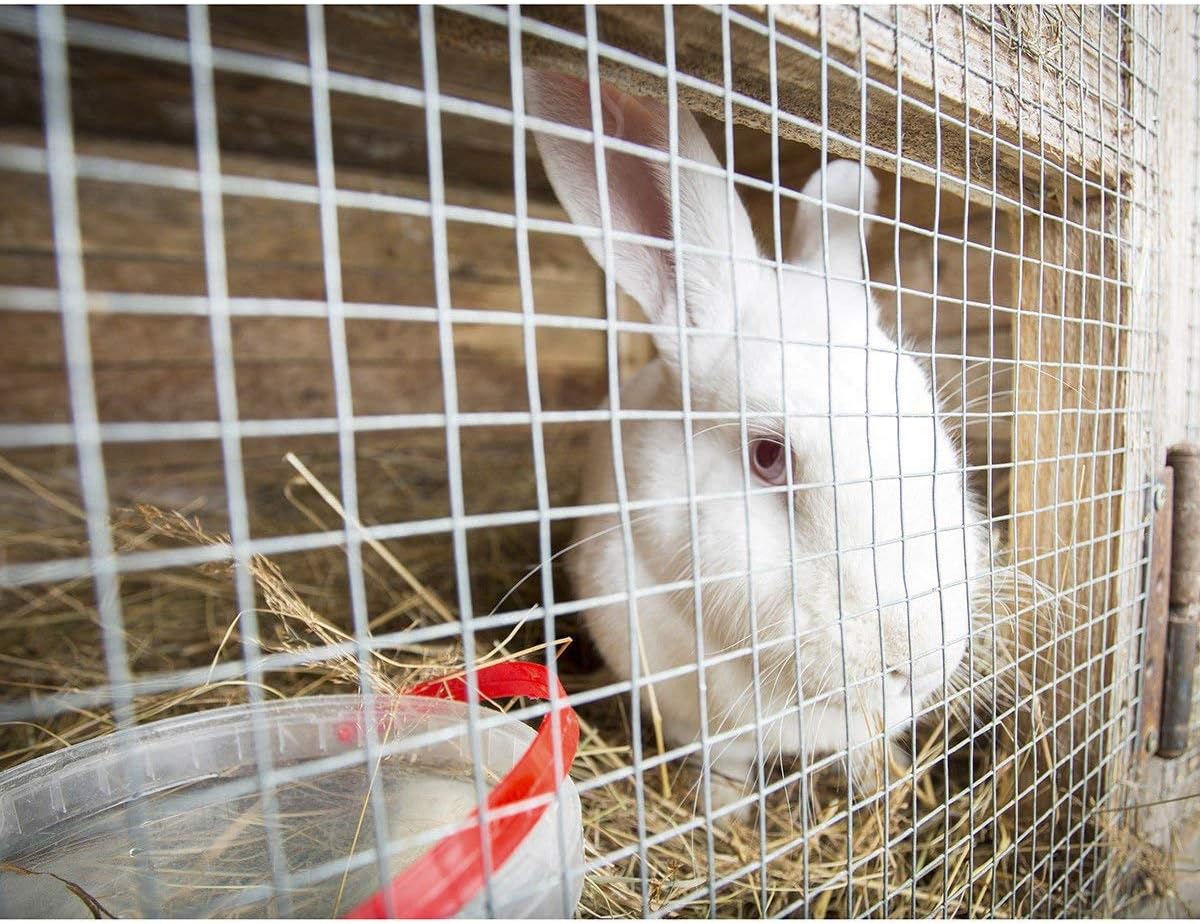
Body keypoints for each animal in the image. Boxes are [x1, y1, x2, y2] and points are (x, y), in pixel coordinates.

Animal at [525, 70, 988, 816]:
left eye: (928, 424)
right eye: (768, 456)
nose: (916, 662)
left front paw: (886, 775)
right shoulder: (695, 711)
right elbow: (727, 766)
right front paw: (721, 813)